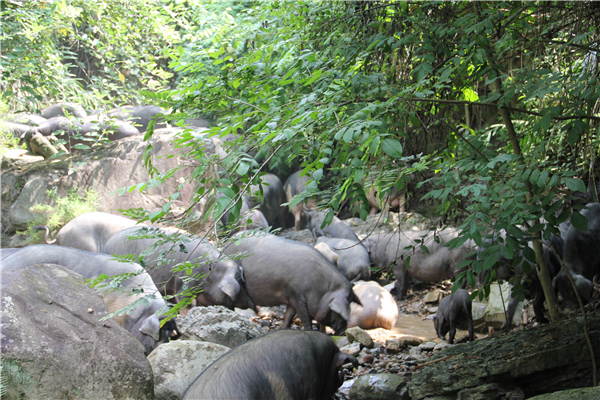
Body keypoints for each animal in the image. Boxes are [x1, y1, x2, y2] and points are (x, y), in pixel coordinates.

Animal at [103, 225, 253, 310]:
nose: (253, 304)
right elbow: (185, 305)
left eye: (243, 280)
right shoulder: (184, 284)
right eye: (239, 281)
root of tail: (106, 245)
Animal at [221, 234, 358, 334]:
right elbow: (305, 318)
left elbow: (289, 315)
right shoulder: (297, 295)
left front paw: (283, 328)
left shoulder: (291, 297)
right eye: (340, 311)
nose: (344, 331)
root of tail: (225, 245)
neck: (320, 288)